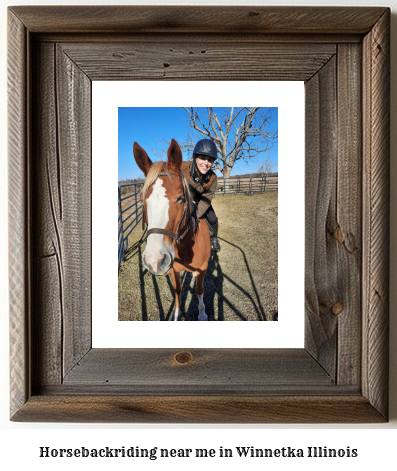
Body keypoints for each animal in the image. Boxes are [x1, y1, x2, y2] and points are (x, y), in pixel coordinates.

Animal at [132, 136, 212, 320]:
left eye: (181, 198)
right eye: (142, 199)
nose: (154, 261)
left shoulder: (202, 269)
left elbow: (199, 290)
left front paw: (202, 314)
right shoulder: (173, 270)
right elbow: (177, 290)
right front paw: (177, 313)